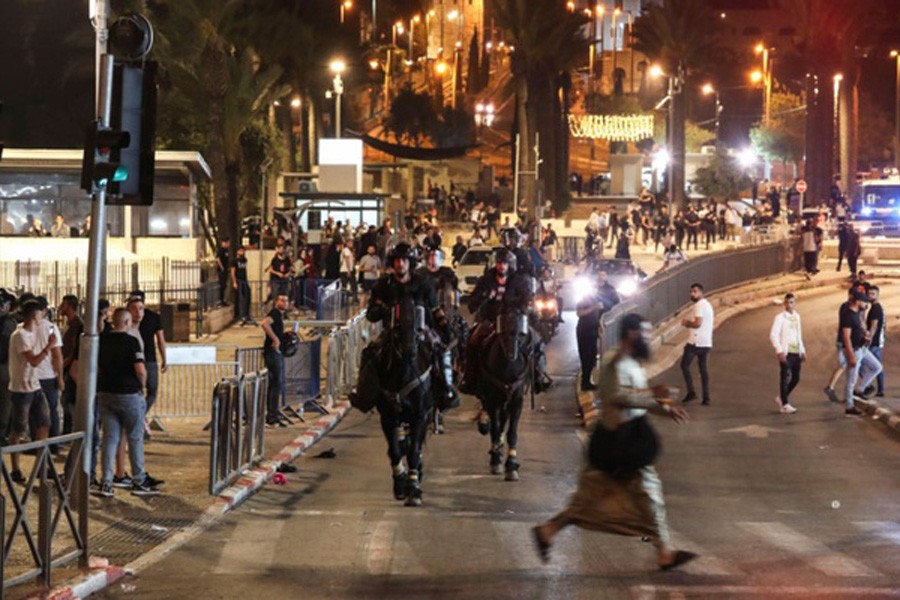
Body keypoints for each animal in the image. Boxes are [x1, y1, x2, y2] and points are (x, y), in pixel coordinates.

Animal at [372, 298, 436, 504]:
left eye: (417, 323)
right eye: (398, 324)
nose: (409, 350)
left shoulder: (421, 416)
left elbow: (414, 450)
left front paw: (413, 488)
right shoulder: (388, 417)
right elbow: (395, 450)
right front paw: (400, 483)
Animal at [474, 310, 532, 482]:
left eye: (520, 333)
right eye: (503, 331)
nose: (512, 354)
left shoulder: (517, 400)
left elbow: (511, 432)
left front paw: (511, 465)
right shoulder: (493, 400)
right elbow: (495, 427)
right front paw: (496, 462)